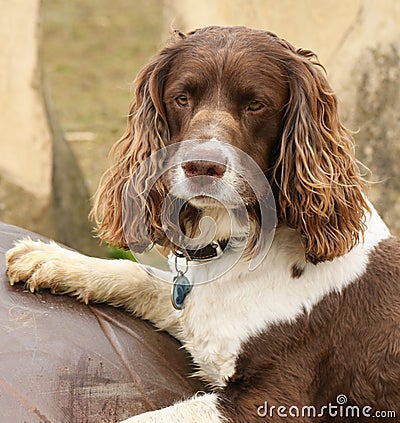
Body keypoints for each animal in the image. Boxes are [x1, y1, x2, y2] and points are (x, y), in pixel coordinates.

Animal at [4, 28, 398, 422]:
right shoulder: (197, 316)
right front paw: (50, 260)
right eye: (181, 98)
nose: (202, 166)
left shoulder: (276, 399)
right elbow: (140, 276)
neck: (239, 241)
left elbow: (140, 417)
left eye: (256, 104)